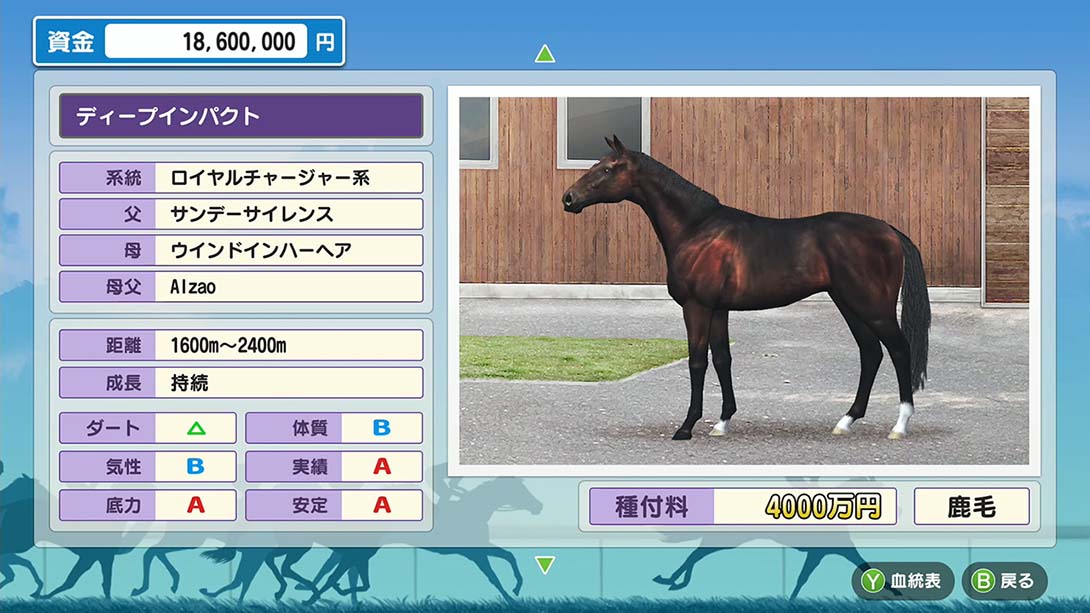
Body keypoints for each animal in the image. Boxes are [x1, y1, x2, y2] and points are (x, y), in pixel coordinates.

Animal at [562, 135, 931, 441]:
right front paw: (722, 422)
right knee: (871, 353)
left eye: (607, 168)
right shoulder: (719, 309)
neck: (696, 229)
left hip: (873, 307)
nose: (569, 198)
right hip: (848, 304)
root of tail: (889, 231)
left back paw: (900, 425)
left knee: (899, 350)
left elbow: (698, 361)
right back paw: (846, 421)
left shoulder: (697, 307)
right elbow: (722, 359)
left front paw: (687, 426)